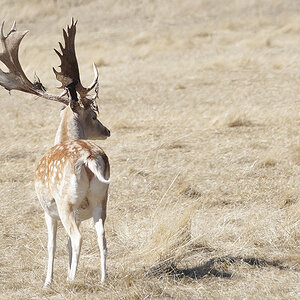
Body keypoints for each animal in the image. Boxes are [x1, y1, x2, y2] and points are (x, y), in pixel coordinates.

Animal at [0, 18, 110, 286]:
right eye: (94, 115)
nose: (107, 130)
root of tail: (90, 158)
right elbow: (67, 245)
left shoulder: (47, 210)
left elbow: (53, 245)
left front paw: (47, 281)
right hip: (101, 199)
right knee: (102, 237)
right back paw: (103, 279)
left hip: (65, 202)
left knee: (78, 237)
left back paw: (71, 280)